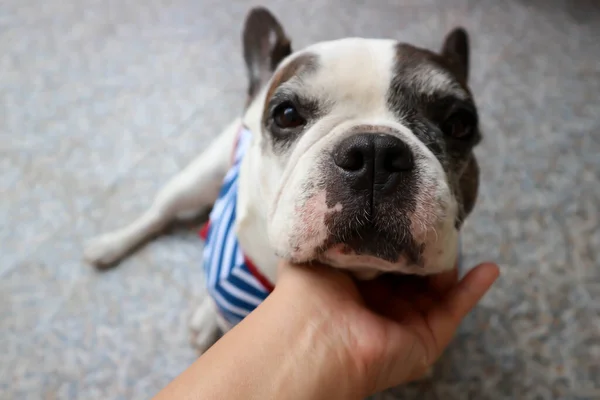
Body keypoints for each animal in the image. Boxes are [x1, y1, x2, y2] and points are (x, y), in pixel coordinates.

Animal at [83, 5, 482, 350]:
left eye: (459, 124)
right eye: (286, 115)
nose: (374, 152)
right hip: (195, 180)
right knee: (159, 213)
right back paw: (110, 245)